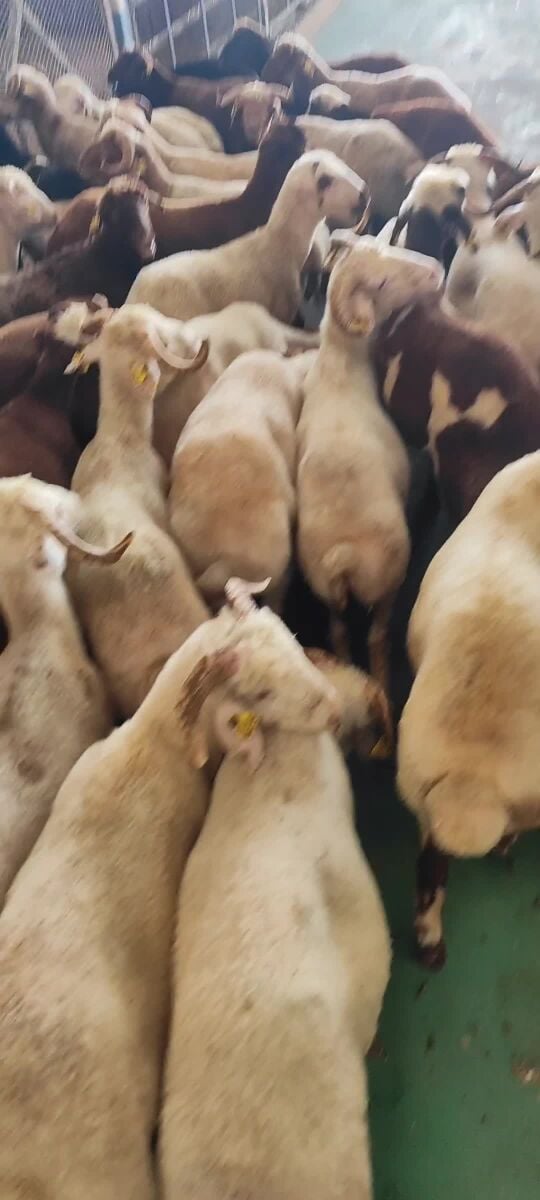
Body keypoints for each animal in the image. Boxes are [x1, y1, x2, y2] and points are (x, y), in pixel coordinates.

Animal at [297, 234, 443, 688]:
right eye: (380, 284)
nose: (437, 271)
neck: (341, 369)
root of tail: (344, 555)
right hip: (387, 583)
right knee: (378, 635)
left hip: (326, 592)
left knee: (339, 632)